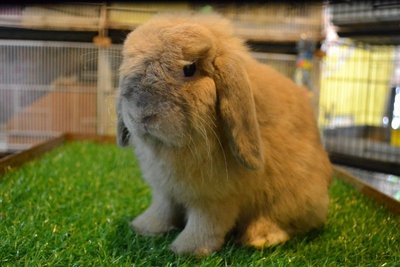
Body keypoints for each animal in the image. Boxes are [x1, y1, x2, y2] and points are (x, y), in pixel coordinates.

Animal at [115, 13, 332, 256]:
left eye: (189, 69)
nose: (142, 114)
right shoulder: (165, 192)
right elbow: (162, 211)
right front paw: (143, 228)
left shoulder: (215, 199)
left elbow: (204, 223)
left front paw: (187, 249)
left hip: (292, 196)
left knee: (279, 220)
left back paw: (260, 238)